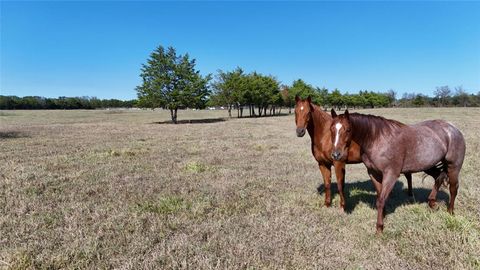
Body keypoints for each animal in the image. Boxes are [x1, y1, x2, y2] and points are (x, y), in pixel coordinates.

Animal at [330, 109, 464, 232]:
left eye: (348, 130)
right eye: (331, 129)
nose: (336, 155)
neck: (377, 139)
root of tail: (453, 128)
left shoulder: (391, 174)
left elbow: (381, 200)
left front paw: (379, 227)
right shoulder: (373, 173)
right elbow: (379, 196)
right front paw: (383, 215)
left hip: (453, 167)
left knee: (453, 188)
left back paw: (450, 212)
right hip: (428, 165)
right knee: (438, 177)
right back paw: (432, 203)